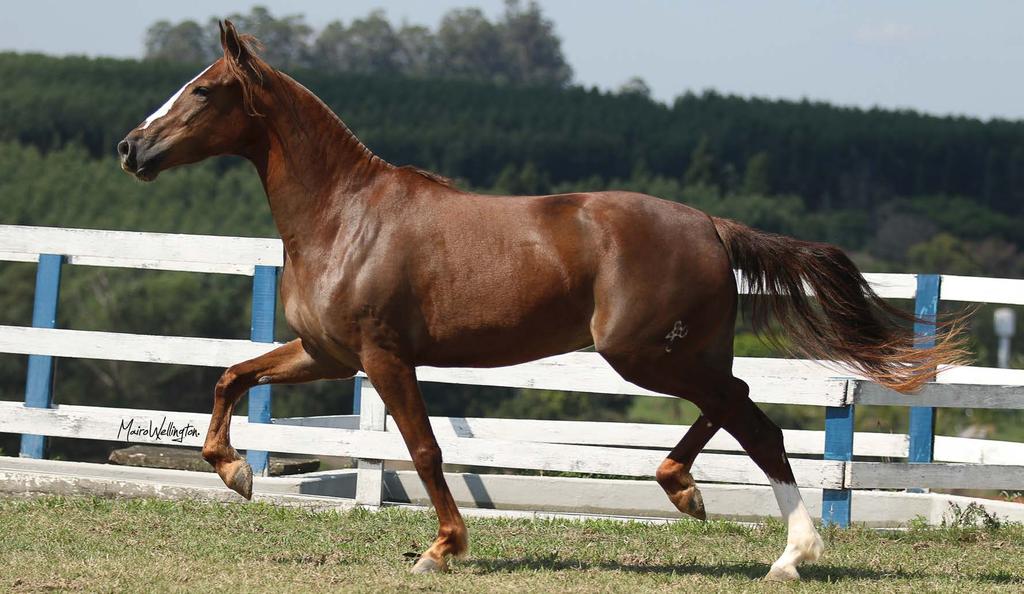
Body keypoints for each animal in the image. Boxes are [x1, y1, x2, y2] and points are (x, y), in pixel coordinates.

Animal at [117, 22, 958, 581]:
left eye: (201, 90)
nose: (131, 148)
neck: (344, 216)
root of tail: (712, 225)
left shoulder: (384, 356)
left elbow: (423, 448)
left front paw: (442, 548)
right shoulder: (328, 353)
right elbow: (232, 376)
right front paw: (233, 471)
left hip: (642, 353)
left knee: (756, 423)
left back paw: (784, 552)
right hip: (682, 351)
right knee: (739, 405)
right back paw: (692, 495)